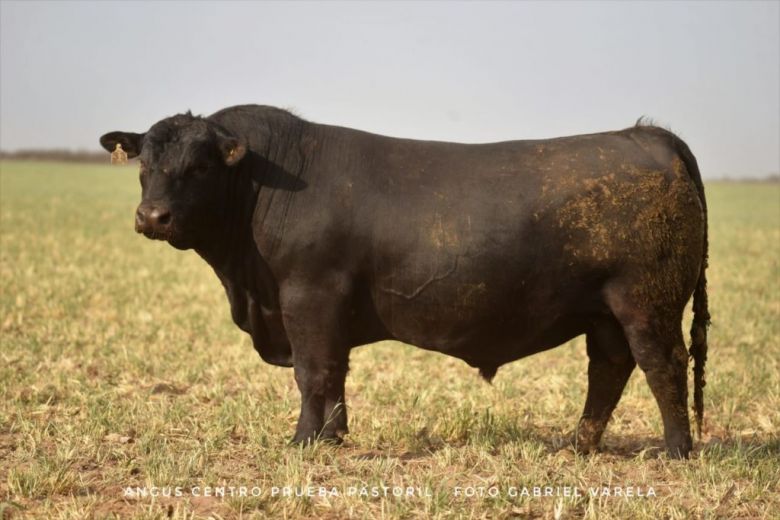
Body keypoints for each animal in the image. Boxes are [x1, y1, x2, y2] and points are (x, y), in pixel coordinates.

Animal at [100, 104, 708, 456]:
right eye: (144, 164)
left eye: (200, 166)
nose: (153, 217)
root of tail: (645, 136)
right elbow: (335, 376)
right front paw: (334, 436)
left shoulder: (308, 296)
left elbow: (313, 372)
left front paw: (303, 442)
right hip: (604, 312)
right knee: (608, 370)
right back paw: (576, 446)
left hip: (646, 303)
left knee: (663, 366)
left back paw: (676, 451)